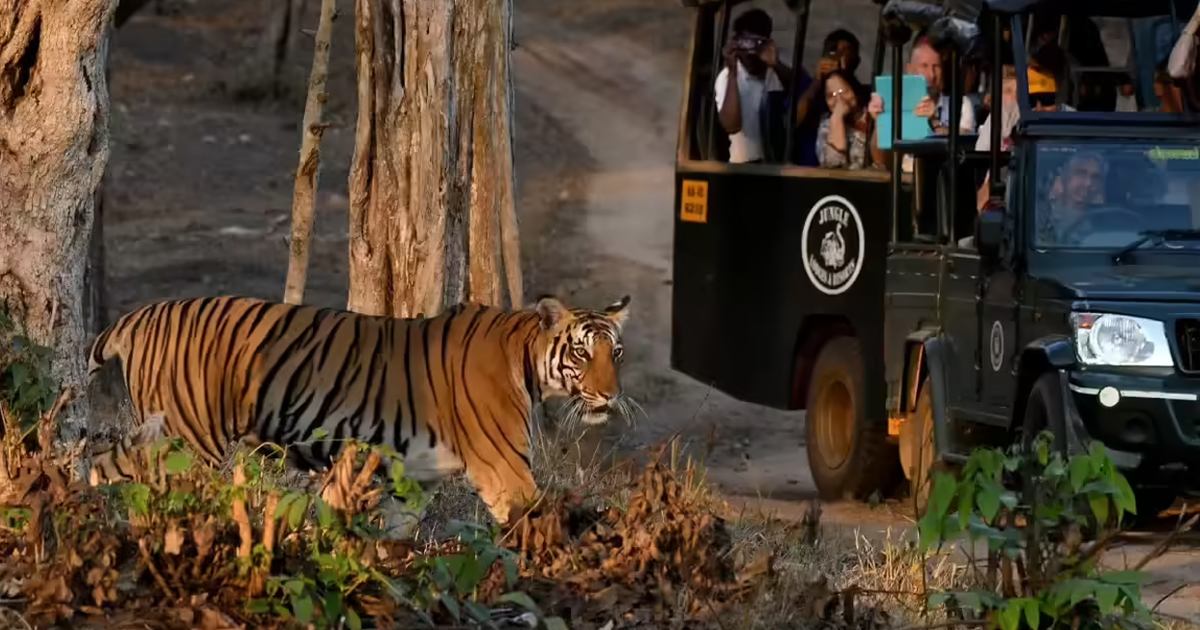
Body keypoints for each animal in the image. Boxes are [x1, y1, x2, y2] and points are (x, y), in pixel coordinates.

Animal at [85, 293, 633, 534]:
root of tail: (138, 316)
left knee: (101, 468)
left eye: (617, 353)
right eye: (582, 353)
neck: (525, 358)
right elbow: (542, 528)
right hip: (186, 439)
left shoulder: (414, 482)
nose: (610, 396)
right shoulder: (505, 470)